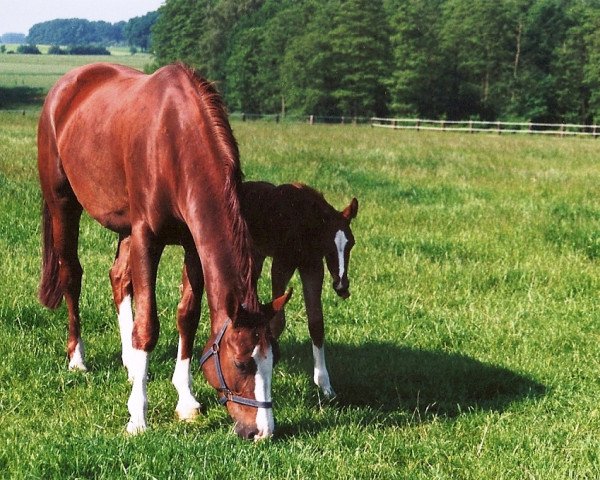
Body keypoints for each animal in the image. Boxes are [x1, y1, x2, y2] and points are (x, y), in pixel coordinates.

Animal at [37, 62, 290, 438]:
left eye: (272, 359)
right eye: (242, 362)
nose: (262, 431)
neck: (175, 140)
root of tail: (64, 87)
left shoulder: (191, 244)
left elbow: (187, 316)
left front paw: (185, 401)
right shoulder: (147, 238)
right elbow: (148, 327)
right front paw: (137, 417)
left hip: (124, 226)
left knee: (118, 278)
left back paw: (130, 364)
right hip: (63, 206)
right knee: (72, 274)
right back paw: (77, 360)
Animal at [240, 180, 360, 398]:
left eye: (351, 244)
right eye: (327, 245)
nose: (341, 286)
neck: (303, 220)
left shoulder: (312, 267)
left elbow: (316, 323)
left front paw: (325, 385)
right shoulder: (282, 265)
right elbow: (278, 320)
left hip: (257, 256)